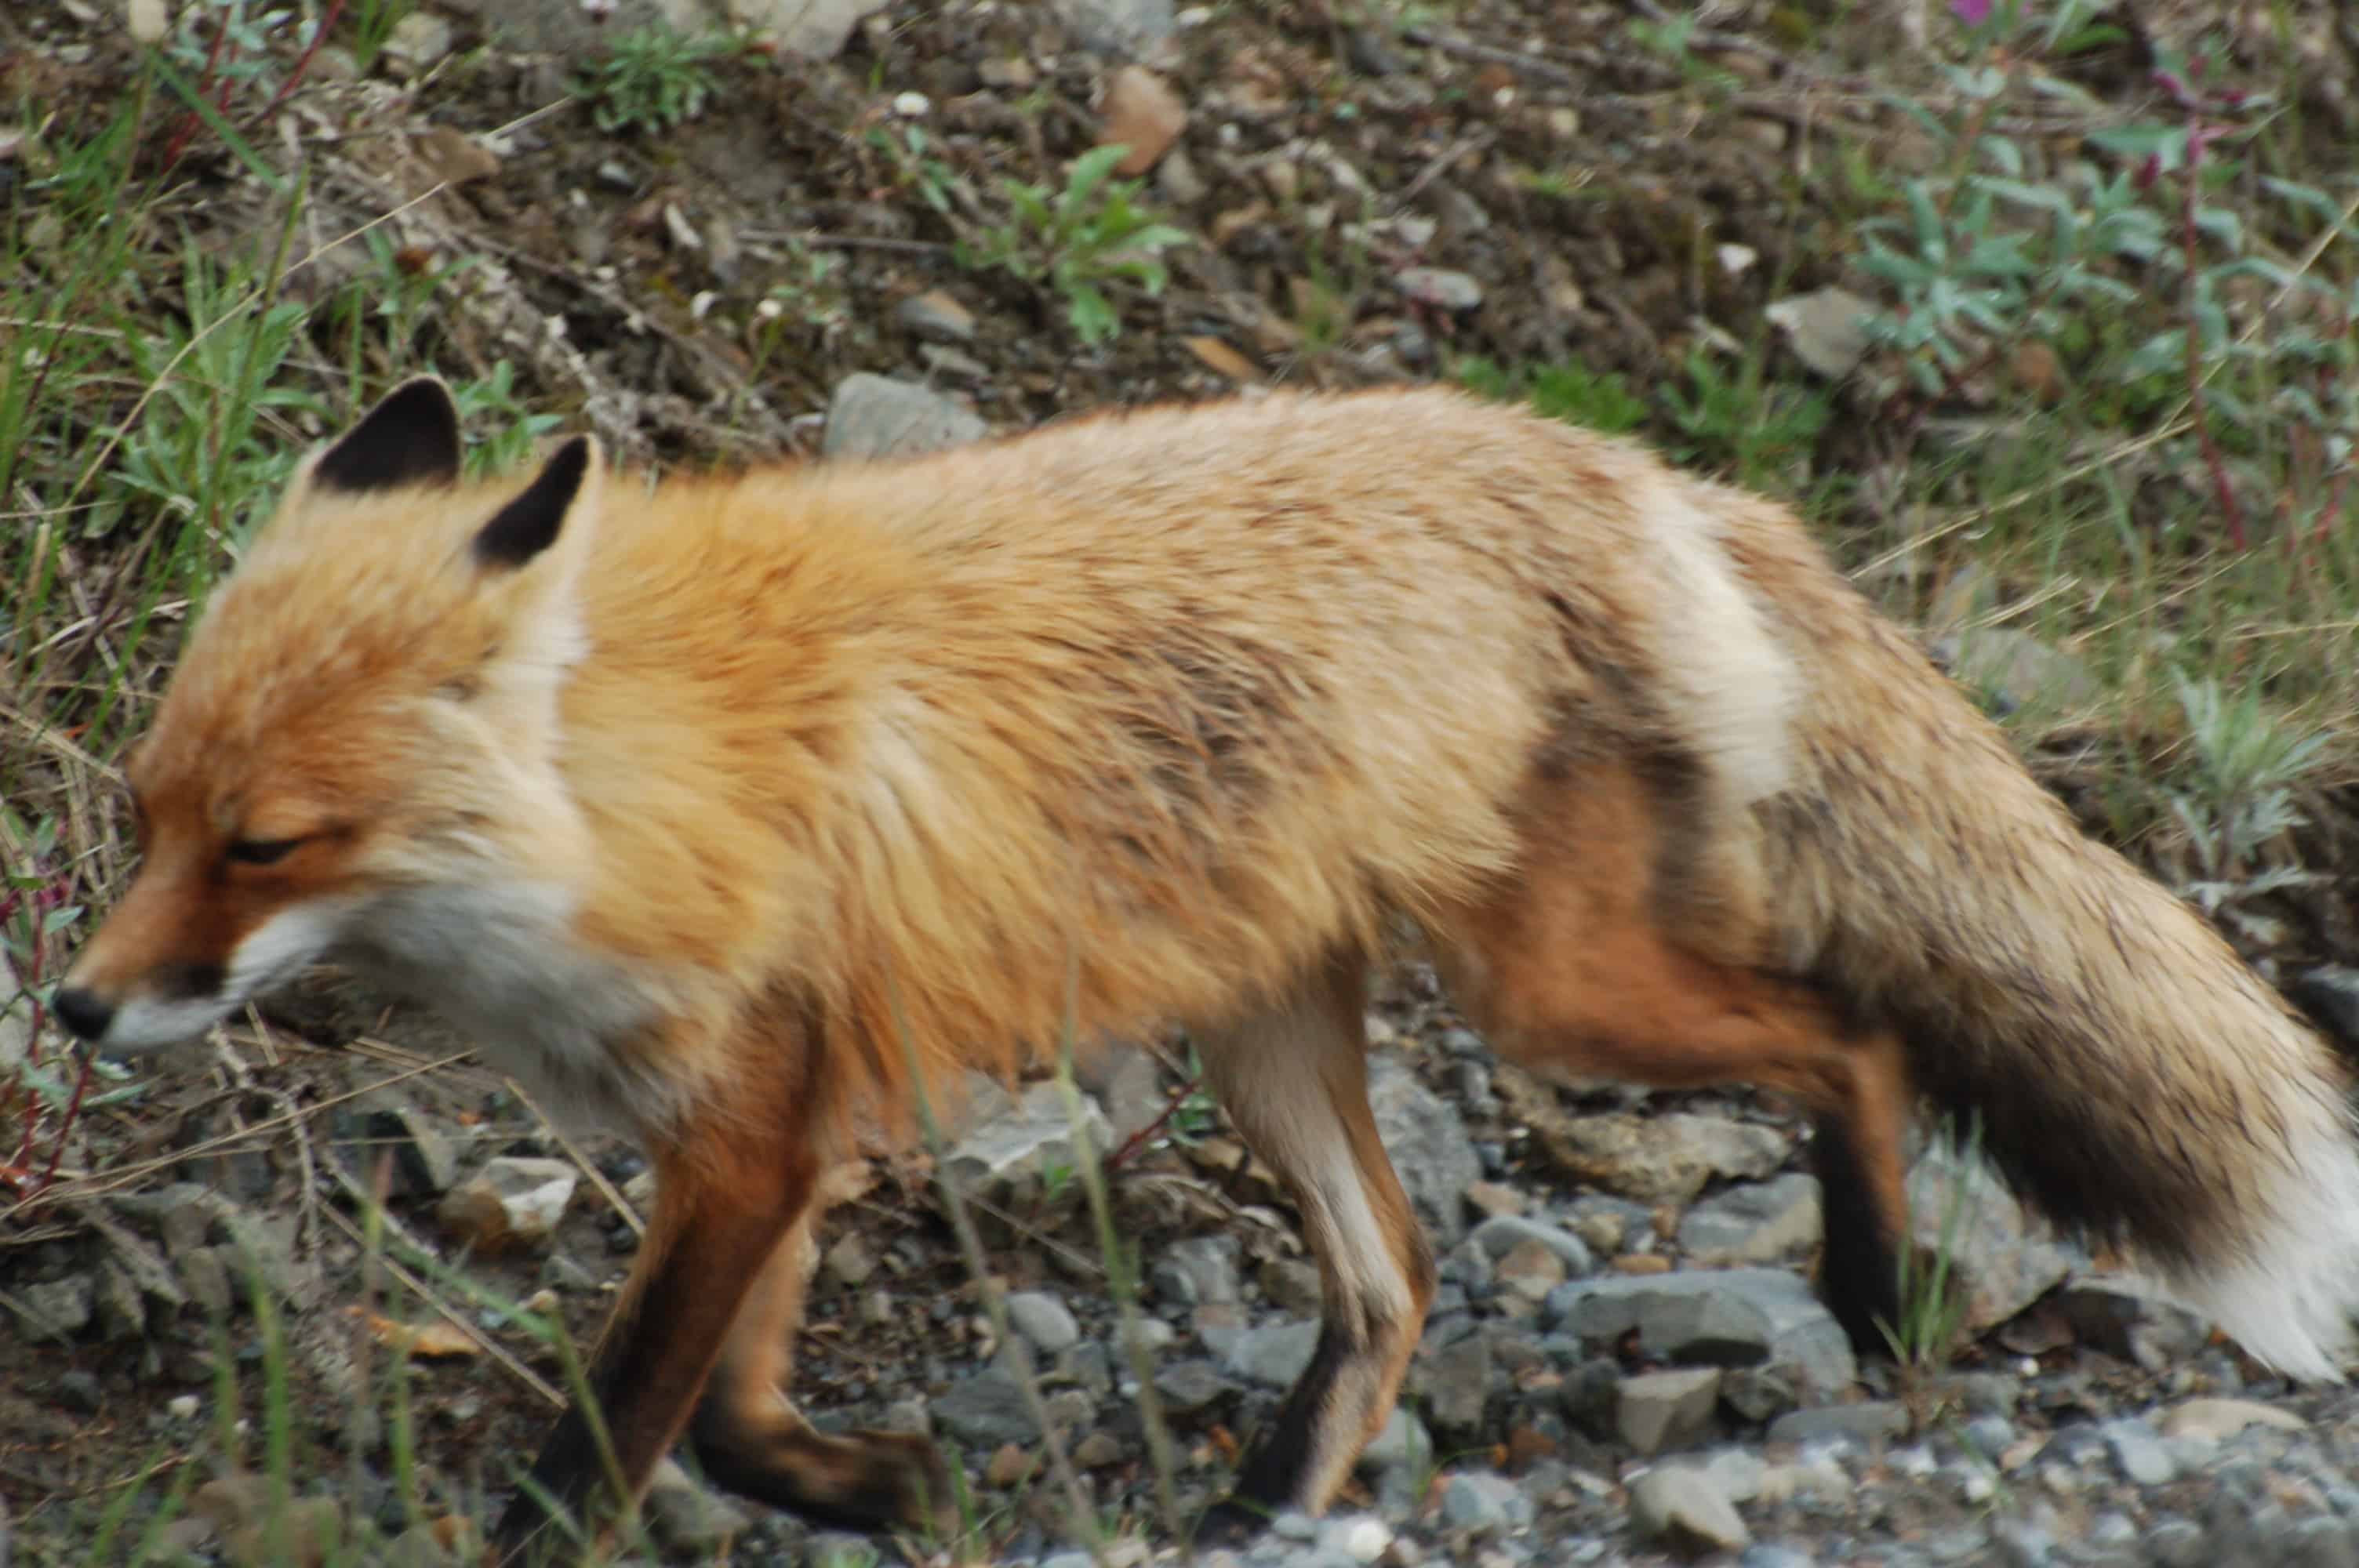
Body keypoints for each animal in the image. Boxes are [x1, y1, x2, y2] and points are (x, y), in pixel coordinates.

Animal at [54, 375, 2359, 1562]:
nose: (71, 1010)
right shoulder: (778, 1121)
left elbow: (631, 1419)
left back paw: (1876, 1292)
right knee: (1396, 1273)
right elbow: (731, 1410)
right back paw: (1272, 1494)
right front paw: (870, 1482)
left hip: (1550, 1000)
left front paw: (551, 1528)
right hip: (1269, 1036)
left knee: (1858, 1039)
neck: (641, 787)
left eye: (266, 847)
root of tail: (1630, 470)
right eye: (147, 814)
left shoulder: (755, 1131)